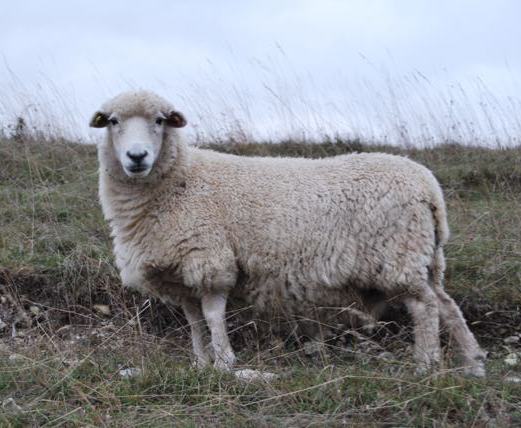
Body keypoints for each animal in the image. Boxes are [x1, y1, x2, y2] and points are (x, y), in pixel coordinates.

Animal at [88, 89, 484, 374]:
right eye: (112, 121)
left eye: (159, 121)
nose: (137, 157)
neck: (180, 180)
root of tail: (427, 184)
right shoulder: (180, 270)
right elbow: (194, 321)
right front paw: (200, 364)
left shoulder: (210, 259)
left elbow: (213, 316)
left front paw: (225, 363)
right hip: (424, 257)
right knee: (447, 304)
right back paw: (472, 364)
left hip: (398, 254)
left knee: (425, 307)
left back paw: (426, 364)